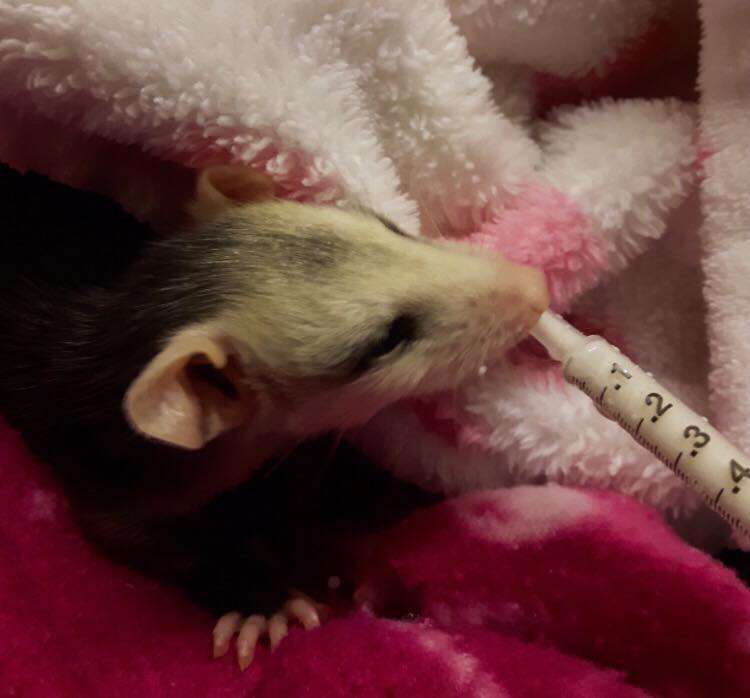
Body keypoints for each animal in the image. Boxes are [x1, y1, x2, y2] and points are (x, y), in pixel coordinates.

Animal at [0, 163, 548, 668]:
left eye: (389, 227)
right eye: (387, 339)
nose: (537, 288)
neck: (116, 332)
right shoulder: (111, 465)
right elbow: (130, 537)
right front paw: (261, 600)